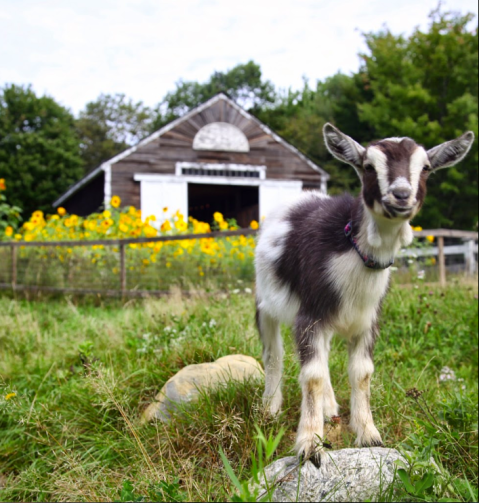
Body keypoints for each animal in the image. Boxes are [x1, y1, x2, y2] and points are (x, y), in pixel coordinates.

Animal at [256, 123, 474, 468]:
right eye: (369, 166)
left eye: (426, 167)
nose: (401, 195)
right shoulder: (310, 315)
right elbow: (312, 375)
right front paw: (309, 446)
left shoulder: (367, 320)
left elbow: (362, 373)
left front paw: (369, 435)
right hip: (265, 301)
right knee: (273, 353)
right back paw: (270, 408)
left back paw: (329, 407)